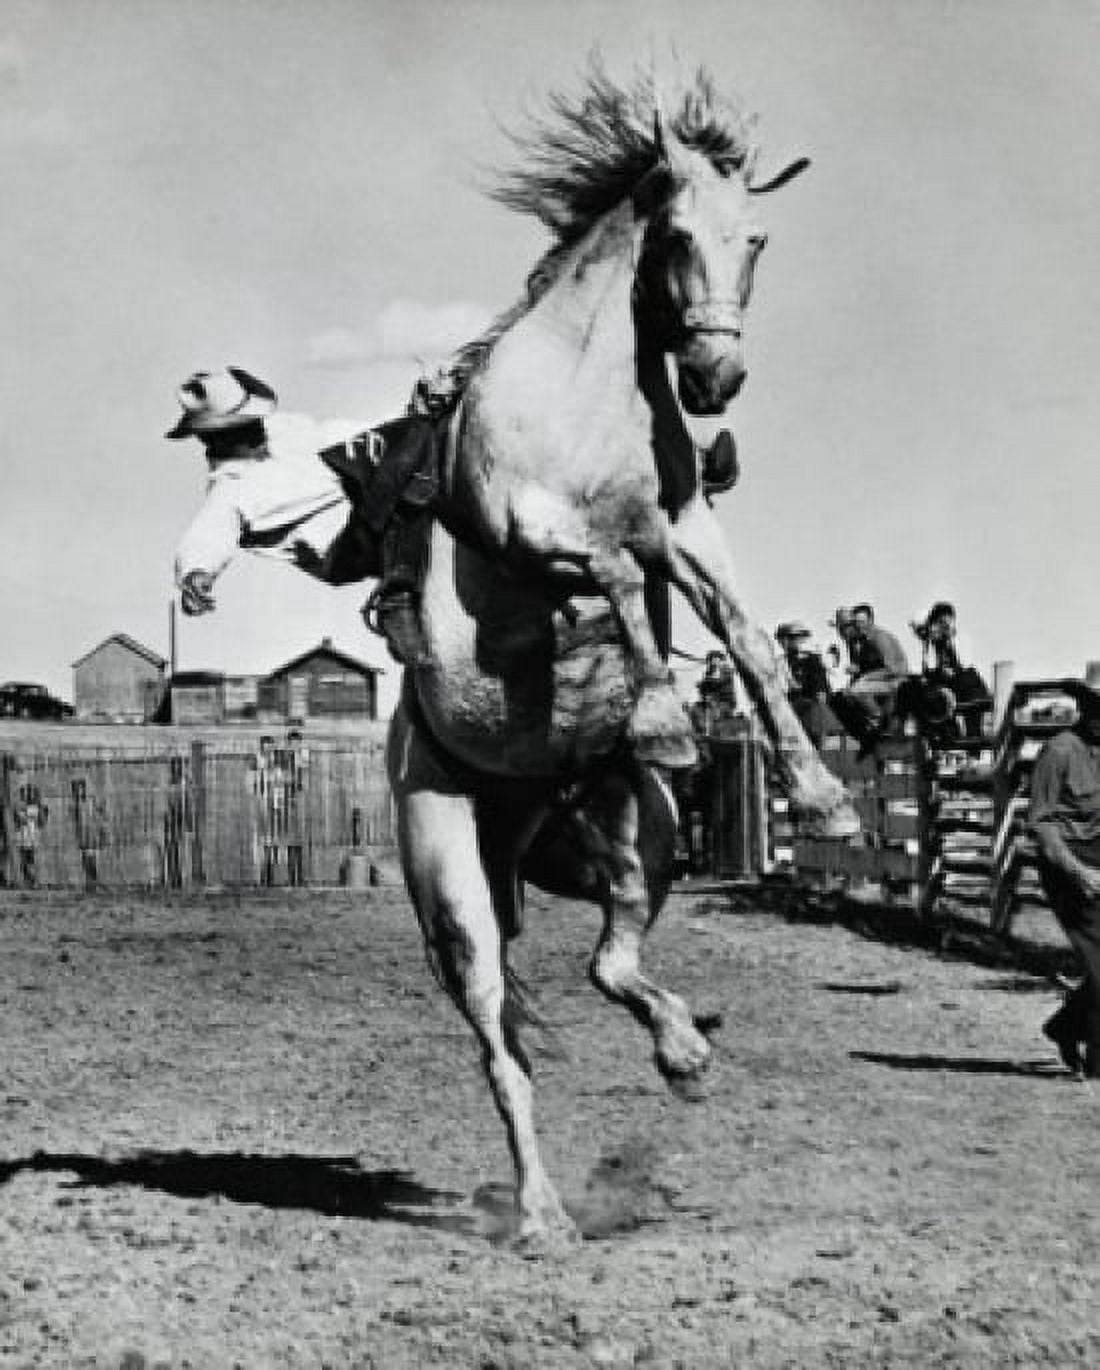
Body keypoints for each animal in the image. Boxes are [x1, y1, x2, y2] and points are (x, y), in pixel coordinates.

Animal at [385, 66, 857, 1245]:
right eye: (677, 232)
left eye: (757, 237)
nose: (716, 374)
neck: (586, 394)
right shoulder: (531, 527)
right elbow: (607, 571)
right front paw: (661, 714)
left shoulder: (686, 528)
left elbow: (743, 633)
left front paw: (822, 794)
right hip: (450, 877)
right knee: (500, 1044)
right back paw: (540, 1212)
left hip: (636, 828)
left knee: (610, 960)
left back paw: (683, 1050)